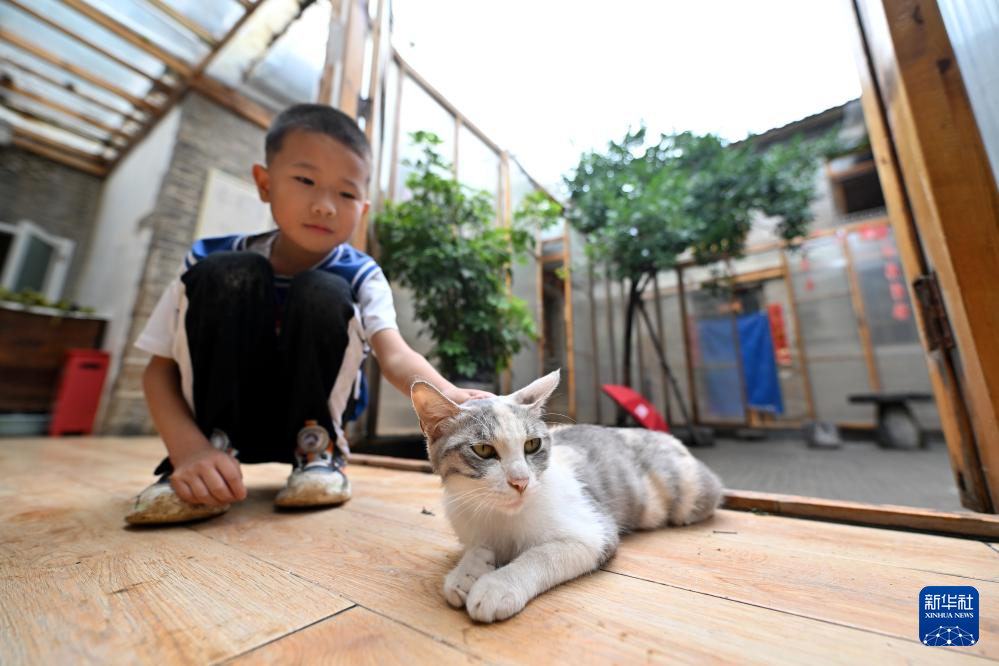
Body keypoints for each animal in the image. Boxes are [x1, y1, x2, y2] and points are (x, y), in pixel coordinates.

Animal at [410, 369, 723, 623]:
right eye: (484, 450)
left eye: (532, 445)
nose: (521, 481)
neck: (501, 515)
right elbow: (477, 546)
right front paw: (467, 571)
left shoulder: (594, 533)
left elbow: (541, 555)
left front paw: (496, 586)